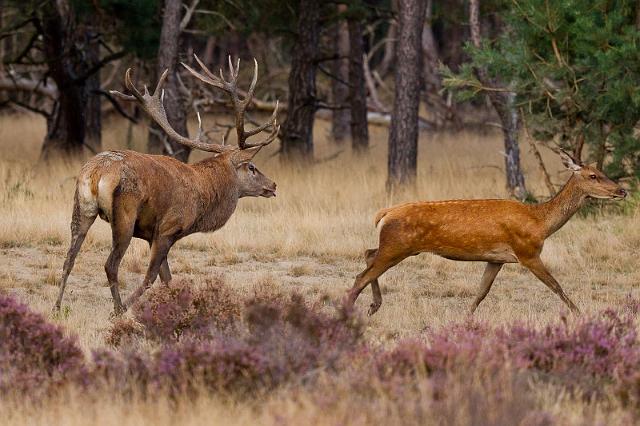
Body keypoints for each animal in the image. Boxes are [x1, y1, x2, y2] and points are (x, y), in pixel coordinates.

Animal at [53, 56, 278, 314]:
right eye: (251, 167)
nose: (273, 185)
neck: (202, 202)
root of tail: (96, 171)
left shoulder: (153, 235)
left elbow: (167, 279)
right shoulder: (168, 228)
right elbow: (153, 277)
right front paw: (127, 309)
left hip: (81, 207)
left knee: (68, 259)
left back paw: (57, 307)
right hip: (125, 215)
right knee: (110, 265)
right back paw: (118, 309)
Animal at [348, 153, 628, 316]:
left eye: (603, 172)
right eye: (593, 175)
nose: (622, 190)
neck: (540, 223)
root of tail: (384, 213)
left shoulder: (496, 259)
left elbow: (481, 292)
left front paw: (466, 318)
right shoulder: (527, 252)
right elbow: (556, 286)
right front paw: (581, 315)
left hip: (395, 246)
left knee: (368, 253)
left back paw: (373, 306)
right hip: (397, 245)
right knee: (361, 276)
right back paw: (349, 311)